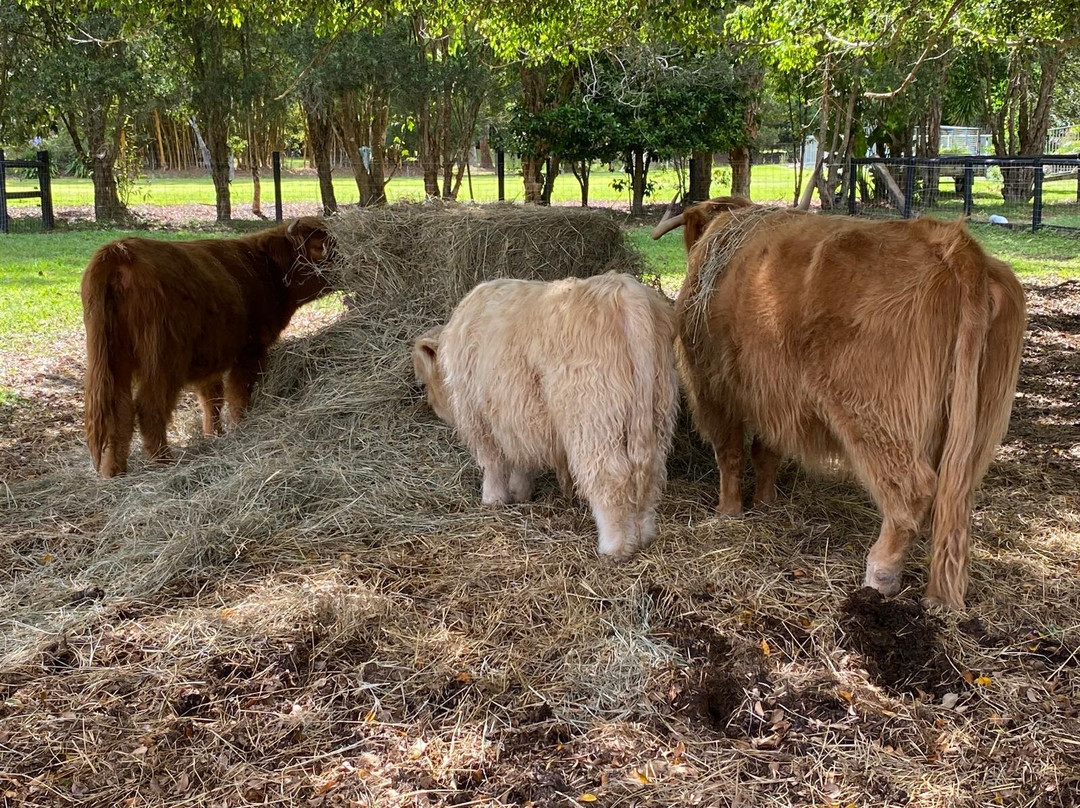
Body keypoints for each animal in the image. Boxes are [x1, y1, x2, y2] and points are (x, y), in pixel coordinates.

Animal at [81, 217, 333, 478]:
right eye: (320, 246)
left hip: (112, 357)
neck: (263, 269)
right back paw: (163, 461)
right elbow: (239, 393)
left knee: (119, 410)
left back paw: (113, 471)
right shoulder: (251, 350)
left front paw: (214, 434)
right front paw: (240, 427)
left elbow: (212, 399)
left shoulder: (210, 361)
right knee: (149, 406)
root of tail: (120, 251)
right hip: (163, 359)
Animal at [412, 273, 679, 561]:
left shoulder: (478, 416)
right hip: (656, 410)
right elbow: (521, 456)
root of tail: (622, 290)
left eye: (424, 383)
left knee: (610, 478)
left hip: (593, 418)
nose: (431, 407)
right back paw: (644, 534)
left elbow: (492, 462)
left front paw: (493, 499)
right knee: (651, 472)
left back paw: (615, 547)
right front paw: (519, 492)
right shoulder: (516, 413)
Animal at [652, 198, 1026, 609]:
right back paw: (942, 593)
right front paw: (766, 503)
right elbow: (766, 452)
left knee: (914, 490)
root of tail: (951, 242)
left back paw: (881, 573)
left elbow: (730, 453)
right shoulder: (774, 396)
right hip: (976, 424)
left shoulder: (713, 388)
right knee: (956, 496)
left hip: (874, 411)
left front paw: (727, 511)